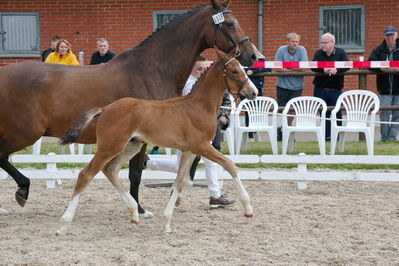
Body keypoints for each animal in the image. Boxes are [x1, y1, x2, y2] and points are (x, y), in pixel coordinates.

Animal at [57, 46, 258, 234]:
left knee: (110, 170)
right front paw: (248, 209)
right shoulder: (201, 146)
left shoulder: (189, 151)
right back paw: (64, 223)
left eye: (242, 68)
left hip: (132, 146)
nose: (254, 92)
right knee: (86, 174)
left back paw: (134, 214)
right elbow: (230, 165)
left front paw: (167, 222)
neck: (198, 106)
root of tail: (105, 109)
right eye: (234, 71)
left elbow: (180, 181)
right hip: (110, 146)